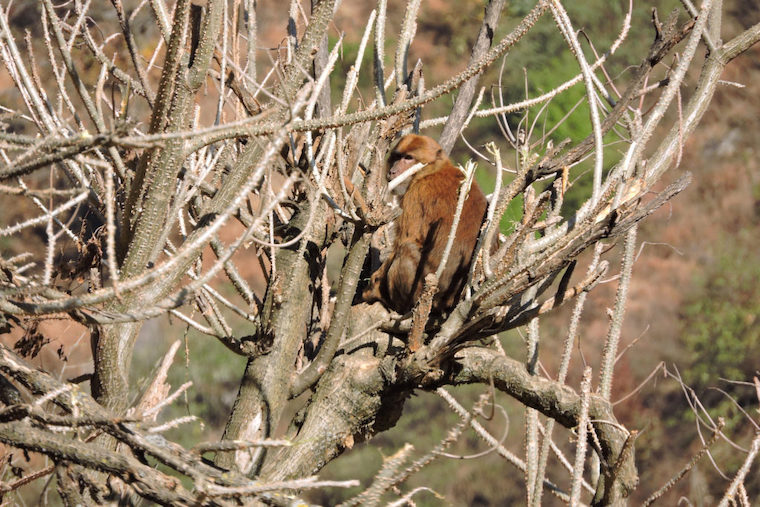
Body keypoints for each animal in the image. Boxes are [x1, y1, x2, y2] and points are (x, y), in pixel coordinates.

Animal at [362, 134, 490, 314]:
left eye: (408, 158)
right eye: (397, 156)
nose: (392, 171)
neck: (431, 171)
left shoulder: (415, 195)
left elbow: (407, 240)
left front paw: (372, 288)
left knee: (406, 250)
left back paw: (395, 304)